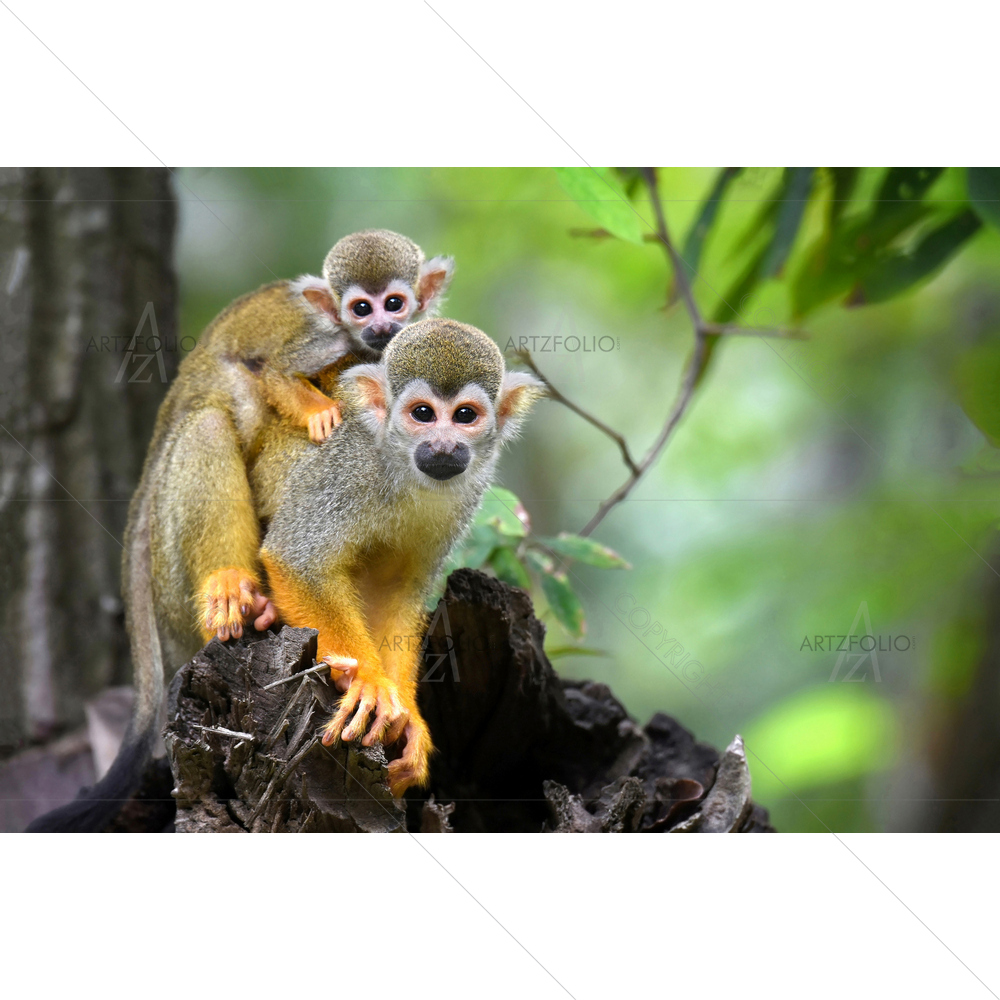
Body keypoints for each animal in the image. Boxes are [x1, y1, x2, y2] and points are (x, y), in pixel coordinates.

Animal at [25, 231, 453, 832]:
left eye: (395, 303)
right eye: (361, 308)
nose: (380, 328)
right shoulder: (325, 342)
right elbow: (279, 373)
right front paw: (319, 410)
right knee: (217, 416)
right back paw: (231, 582)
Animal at [259, 318, 545, 795]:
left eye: (465, 416)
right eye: (423, 414)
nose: (444, 446)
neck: (401, 468)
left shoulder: (464, 499)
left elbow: (396, 591)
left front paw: (407, 717)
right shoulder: (346, 467)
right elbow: (296, 560)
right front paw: (370, 683)